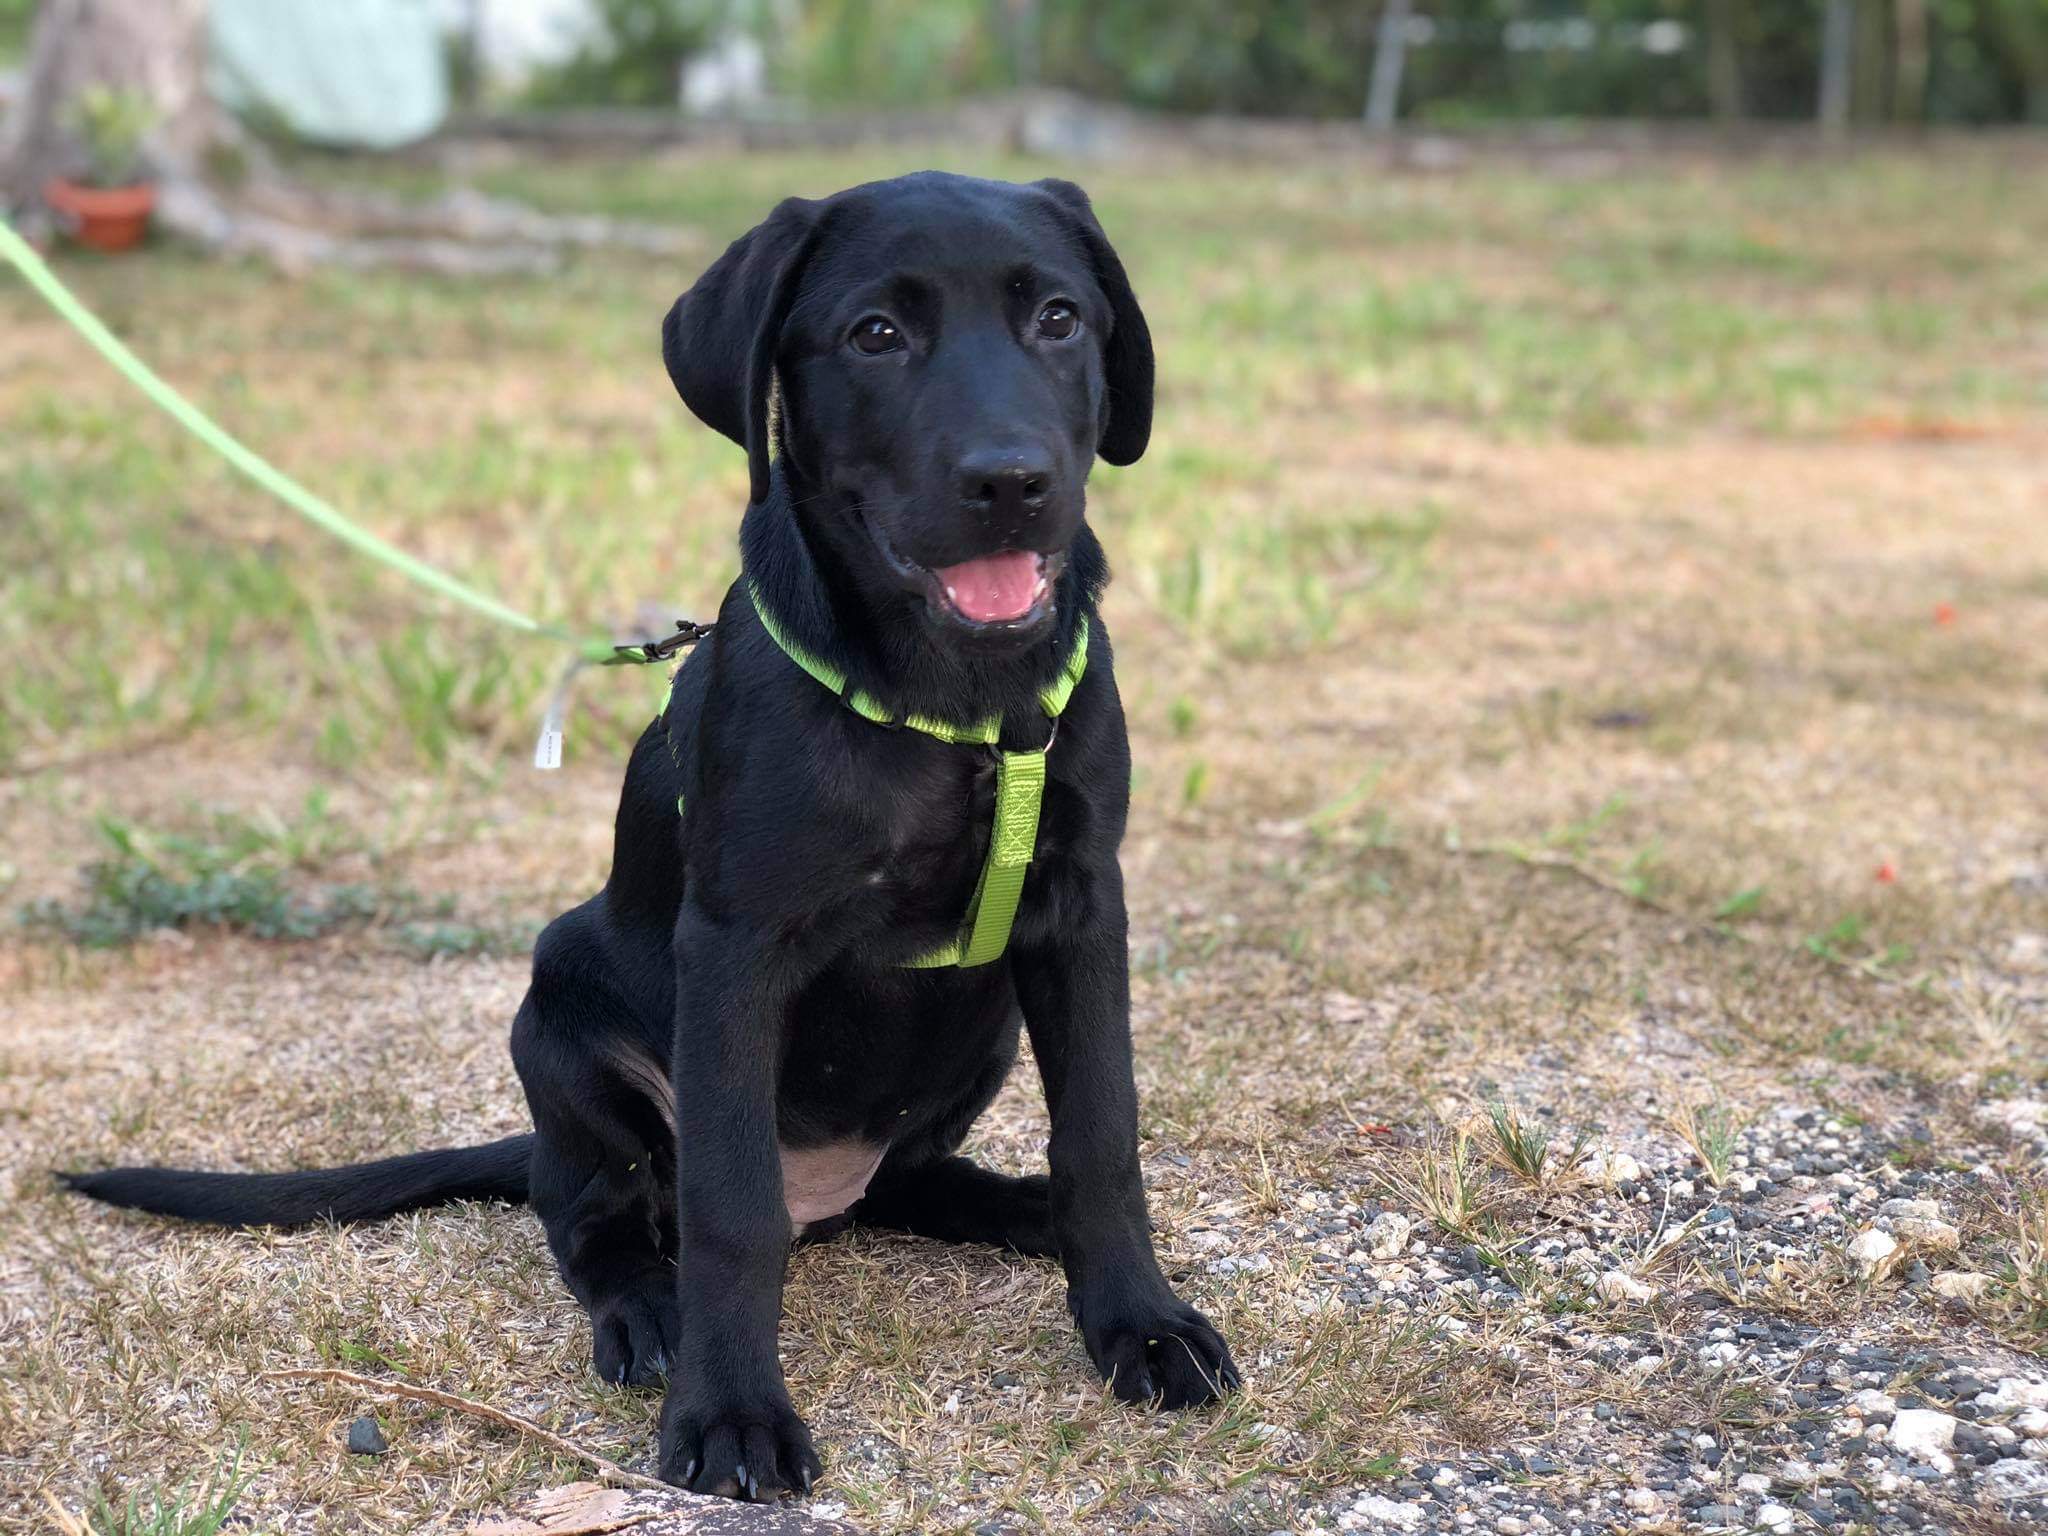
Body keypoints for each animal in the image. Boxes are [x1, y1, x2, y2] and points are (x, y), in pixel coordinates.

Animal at [68, 171, 1228, 1507]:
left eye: (1058, 319)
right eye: (875, 335)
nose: (1011, 480)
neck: (957, 705)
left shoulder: (1082, 914)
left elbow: (1102, 1133)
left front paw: (1138, 1322)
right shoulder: (733, 947)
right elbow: (730, 1210)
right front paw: (728, 1412)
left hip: (976, 1026)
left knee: (913, 1182)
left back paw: (1022, 1211)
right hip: (558, 1022)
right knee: (596, 1219)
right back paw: (646, 1314)